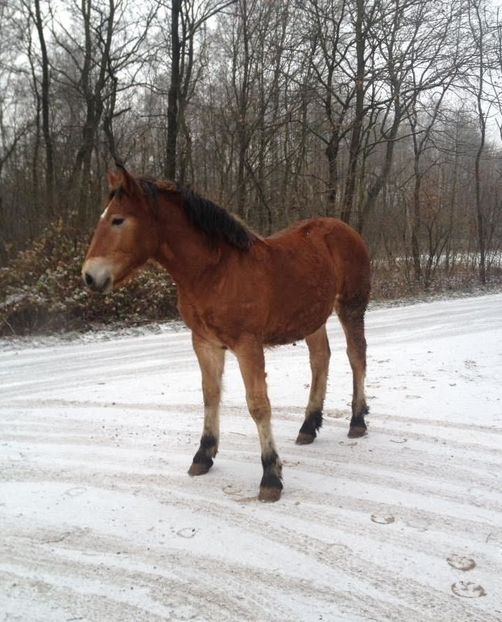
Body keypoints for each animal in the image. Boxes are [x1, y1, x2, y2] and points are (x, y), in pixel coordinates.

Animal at [82, 165, 370, 502]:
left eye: (118, 220)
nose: (89, 276)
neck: (215, 273)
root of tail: (345, 229)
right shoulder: (204, 343)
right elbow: (211, 395)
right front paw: (203, 455)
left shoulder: (248, 345)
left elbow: (258, 405)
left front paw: (270, 476)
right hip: (313, 318)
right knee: (320, 360)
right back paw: (308, 426)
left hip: (351, 306)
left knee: (356, 356)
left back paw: (357, 421)